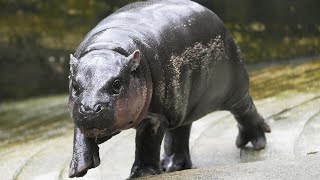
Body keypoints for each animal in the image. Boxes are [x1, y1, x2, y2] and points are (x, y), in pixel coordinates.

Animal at [67, 0, 270, 179]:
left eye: (117, 83)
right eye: (75, 85)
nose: (90, 109)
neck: (108, 47)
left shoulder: (157, 116)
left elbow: (147, 143)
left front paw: (142, 174)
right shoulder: (78, 110)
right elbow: (79, 134)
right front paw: (78, 168)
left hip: (233, 88)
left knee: (245, 108)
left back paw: (256, 142)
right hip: (184, 104)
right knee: (180, 130)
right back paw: (172, 166)